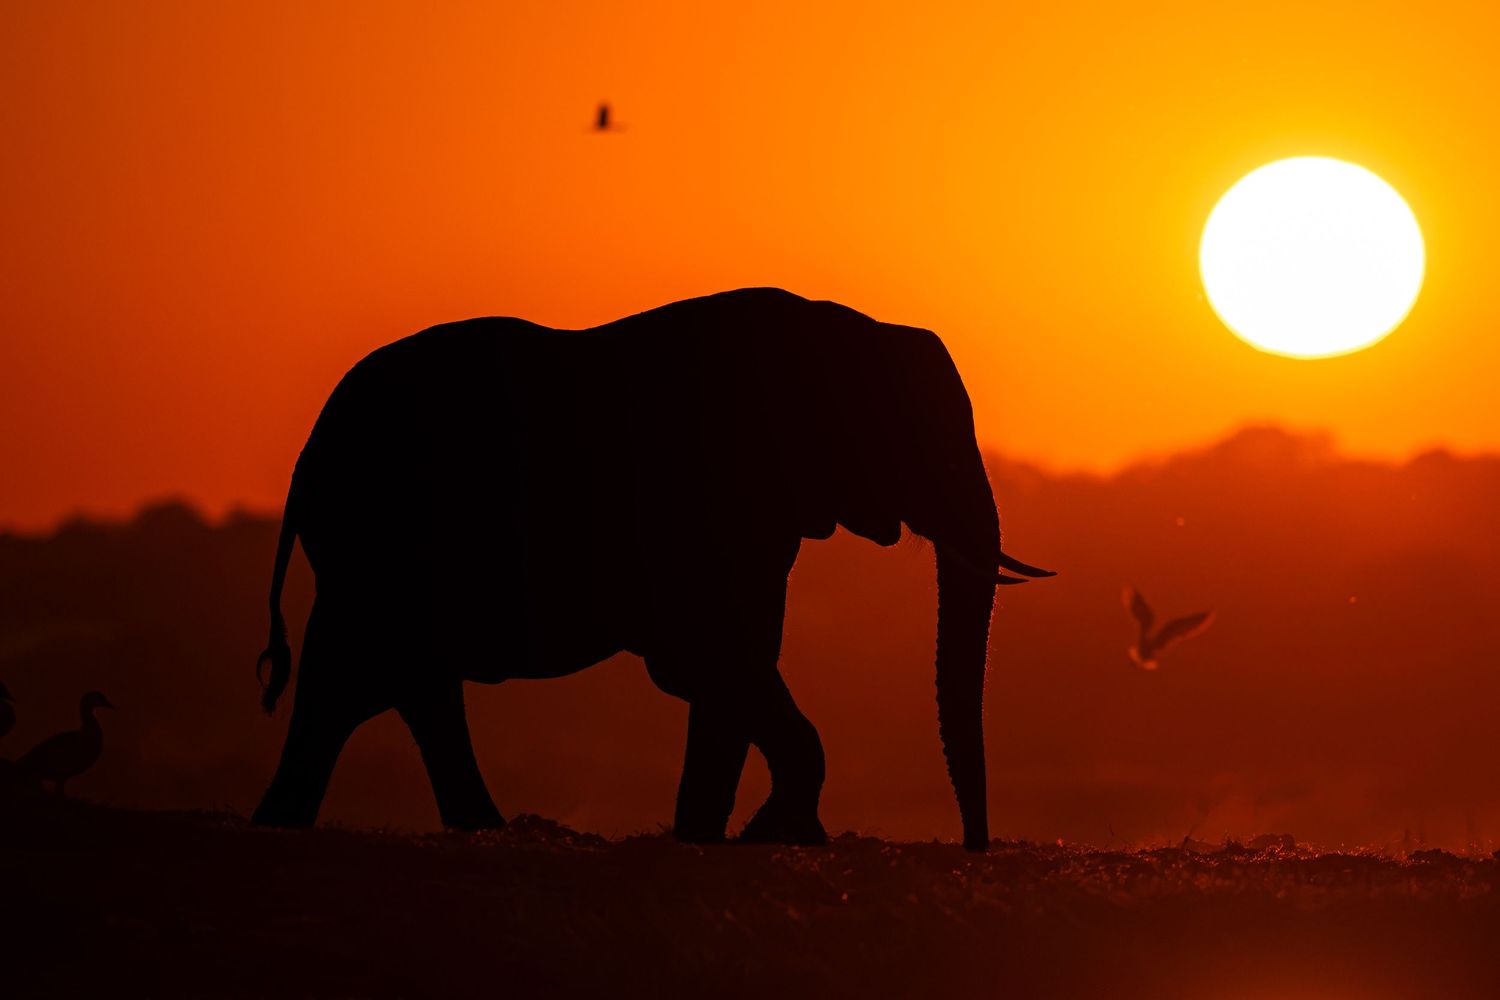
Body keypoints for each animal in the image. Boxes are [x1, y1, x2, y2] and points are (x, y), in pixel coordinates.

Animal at [252, 287, 1051, 849]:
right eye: (929, 445)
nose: (974, 848)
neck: (845, 327)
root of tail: (305, 457)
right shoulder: (711, 508)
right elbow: (710, 659)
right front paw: (768, 835)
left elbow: (732, 667)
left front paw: (715, 837)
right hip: (374, 547)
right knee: (359, 680)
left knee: (391, 686)